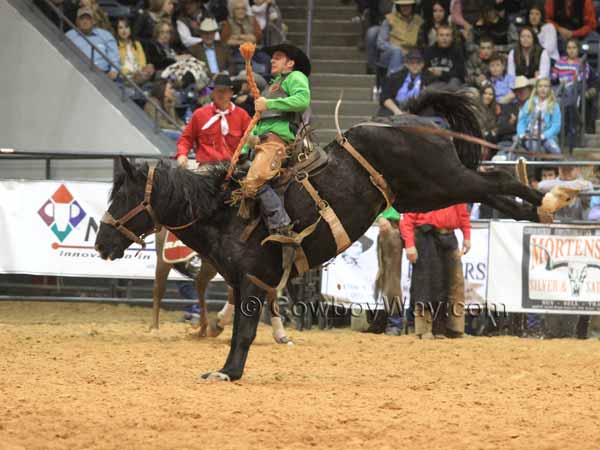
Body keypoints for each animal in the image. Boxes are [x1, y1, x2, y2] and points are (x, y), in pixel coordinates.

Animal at [95, 93, 576, 382]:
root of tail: (406, 117)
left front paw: (228, 372)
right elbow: (241, 321)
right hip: (429, 189)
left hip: (443, 179)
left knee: (496, 181)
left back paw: (553, 198)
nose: (101, 243)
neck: (225, 209)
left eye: (123, 196)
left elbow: (244, 332)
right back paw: (544, 208)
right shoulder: (249, 282)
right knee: (494, 188)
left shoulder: (253, 281)